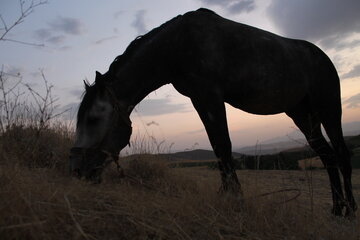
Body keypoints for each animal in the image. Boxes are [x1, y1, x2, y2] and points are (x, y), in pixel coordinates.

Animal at [69, 8, 358, 217]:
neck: (177, 45)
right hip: (302, 115)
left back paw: (351, 211)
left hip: (329, 107)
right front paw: (229, 196)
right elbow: (218, 148)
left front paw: (235, 200)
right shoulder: (199, 99)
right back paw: (336, 209)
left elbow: (223, 145)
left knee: (341, 154)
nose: (77, 171)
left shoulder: (210, 96)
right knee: (327, 156)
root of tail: (323, 57)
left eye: (93, 119)